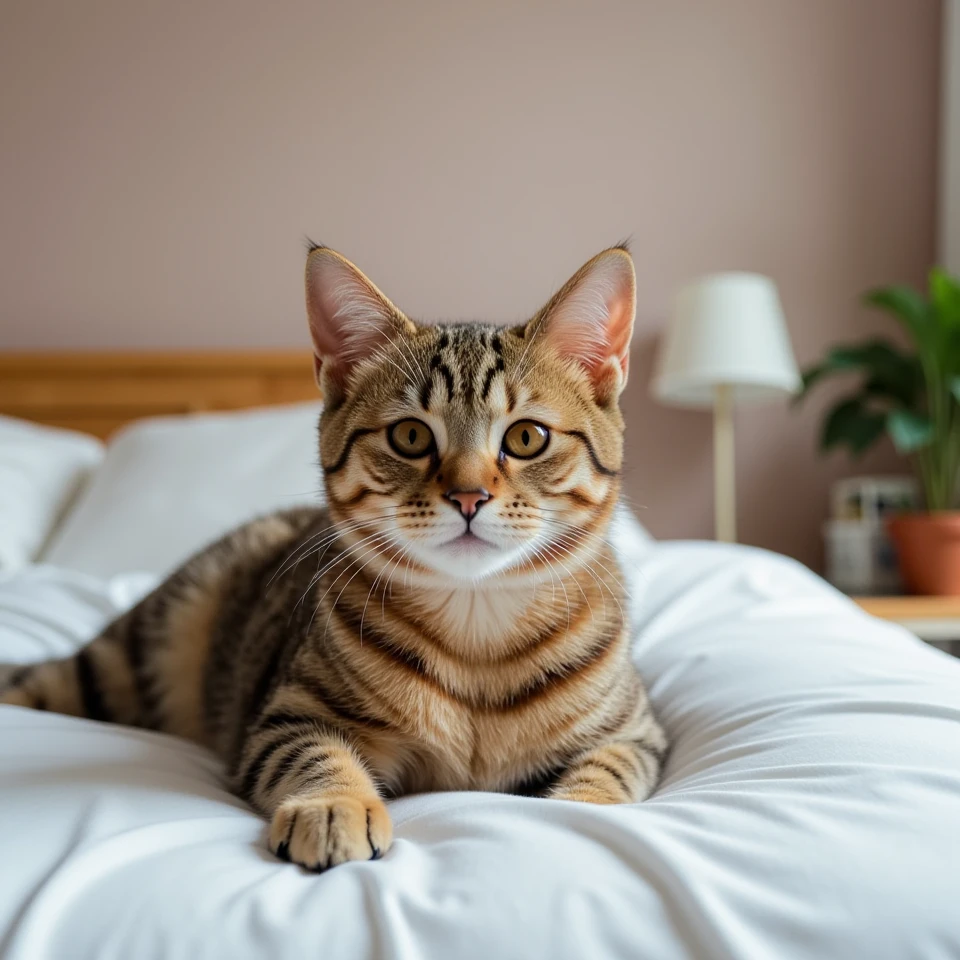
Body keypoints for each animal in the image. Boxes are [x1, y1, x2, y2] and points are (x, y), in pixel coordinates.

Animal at [1, 246, 668, 872]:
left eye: (527, 437)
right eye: (411, 436)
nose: (469, 495)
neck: (477, 633)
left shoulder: (636, 734)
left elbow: (605, 775)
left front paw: (576, 816)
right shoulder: (285, 715)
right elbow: (316, 754)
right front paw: (334, 805)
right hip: (134, 653)